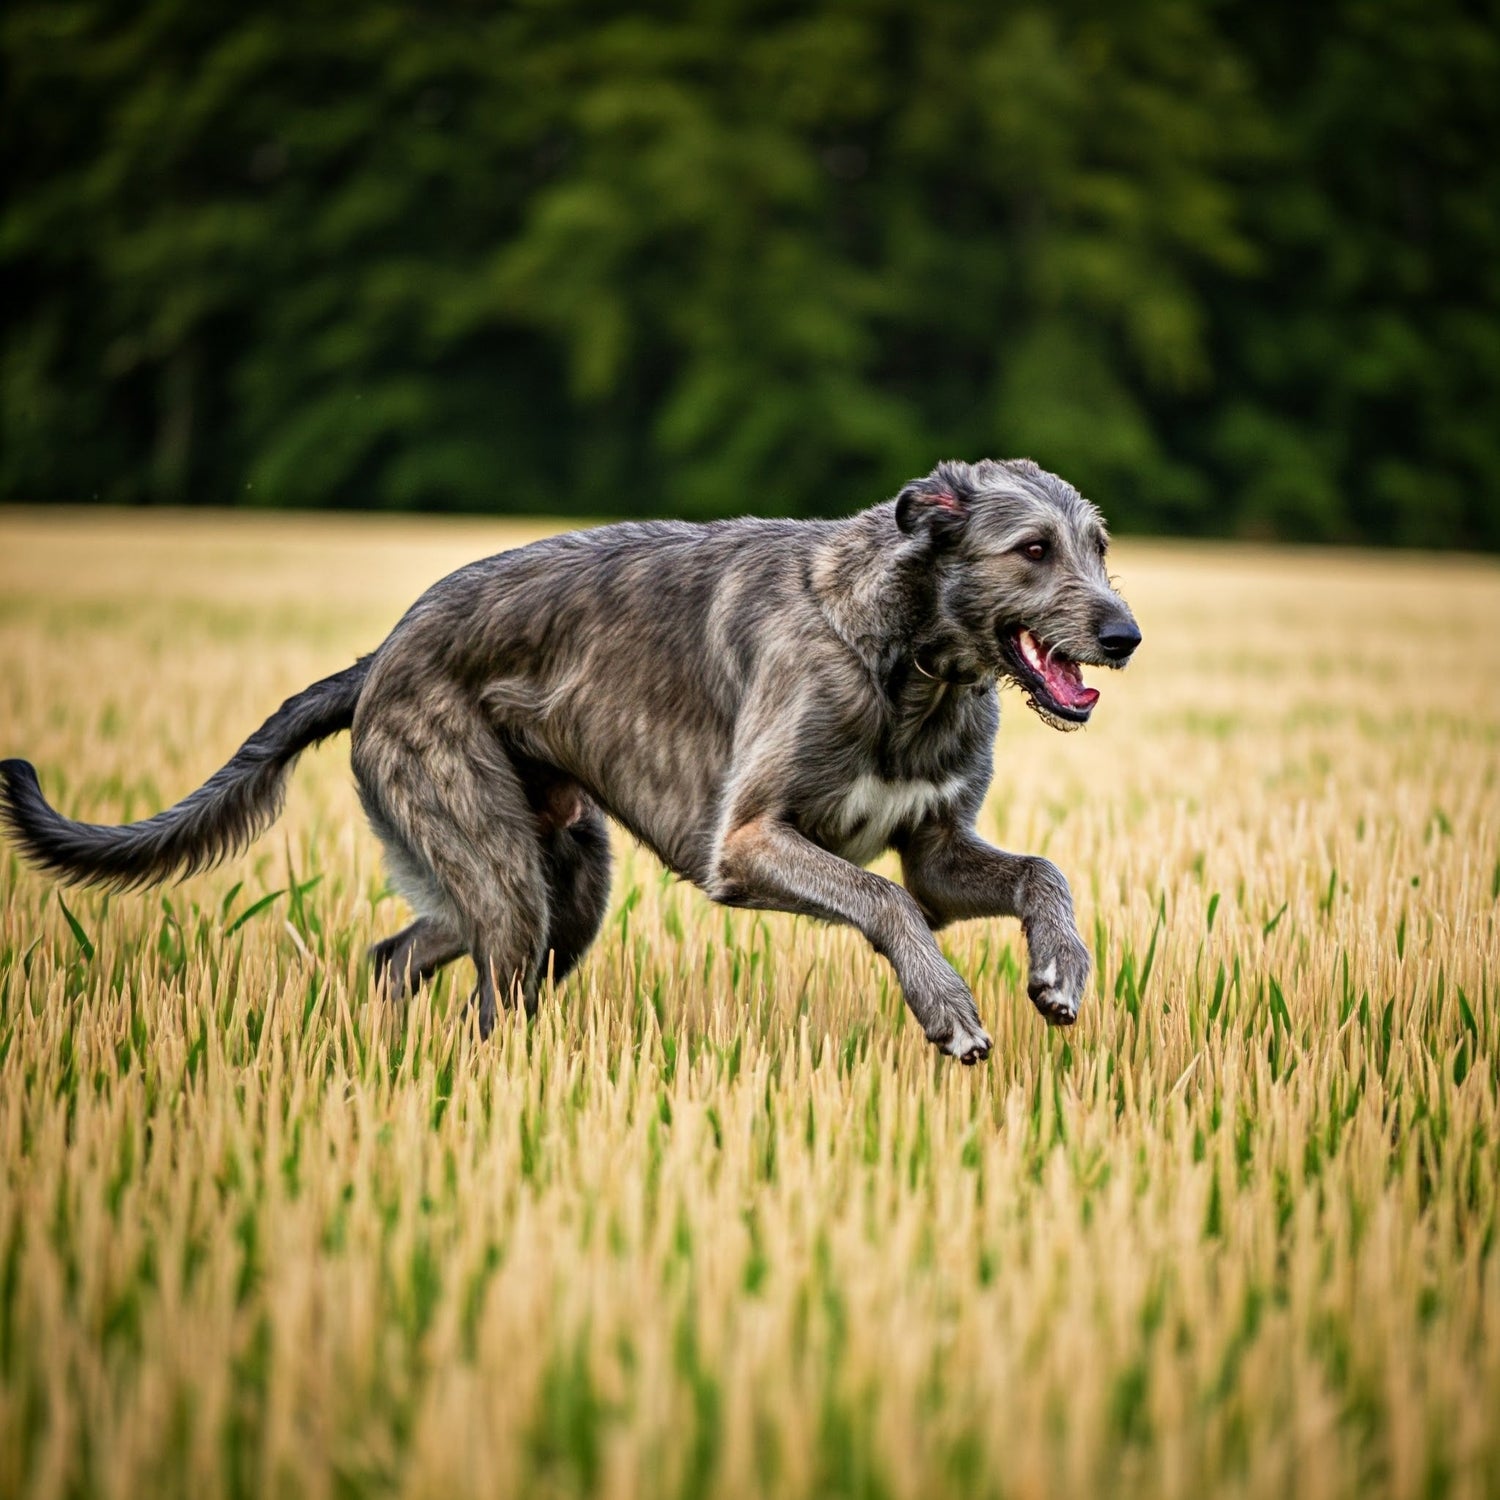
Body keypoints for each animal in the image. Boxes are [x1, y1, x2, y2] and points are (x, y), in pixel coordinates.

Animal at [0, 462, 1134, 1062]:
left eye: (1101, 543)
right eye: (1033, 549)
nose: (1124, 635)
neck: (905, 657)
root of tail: (383, 655)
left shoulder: (936, 845)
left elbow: (1032, 873)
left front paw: (1062, 969)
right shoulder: (748, 843)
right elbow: (888, 902)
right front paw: (948, 1010)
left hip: (557, 875)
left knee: (404, 951)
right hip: (493, 855)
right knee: (483, 985)